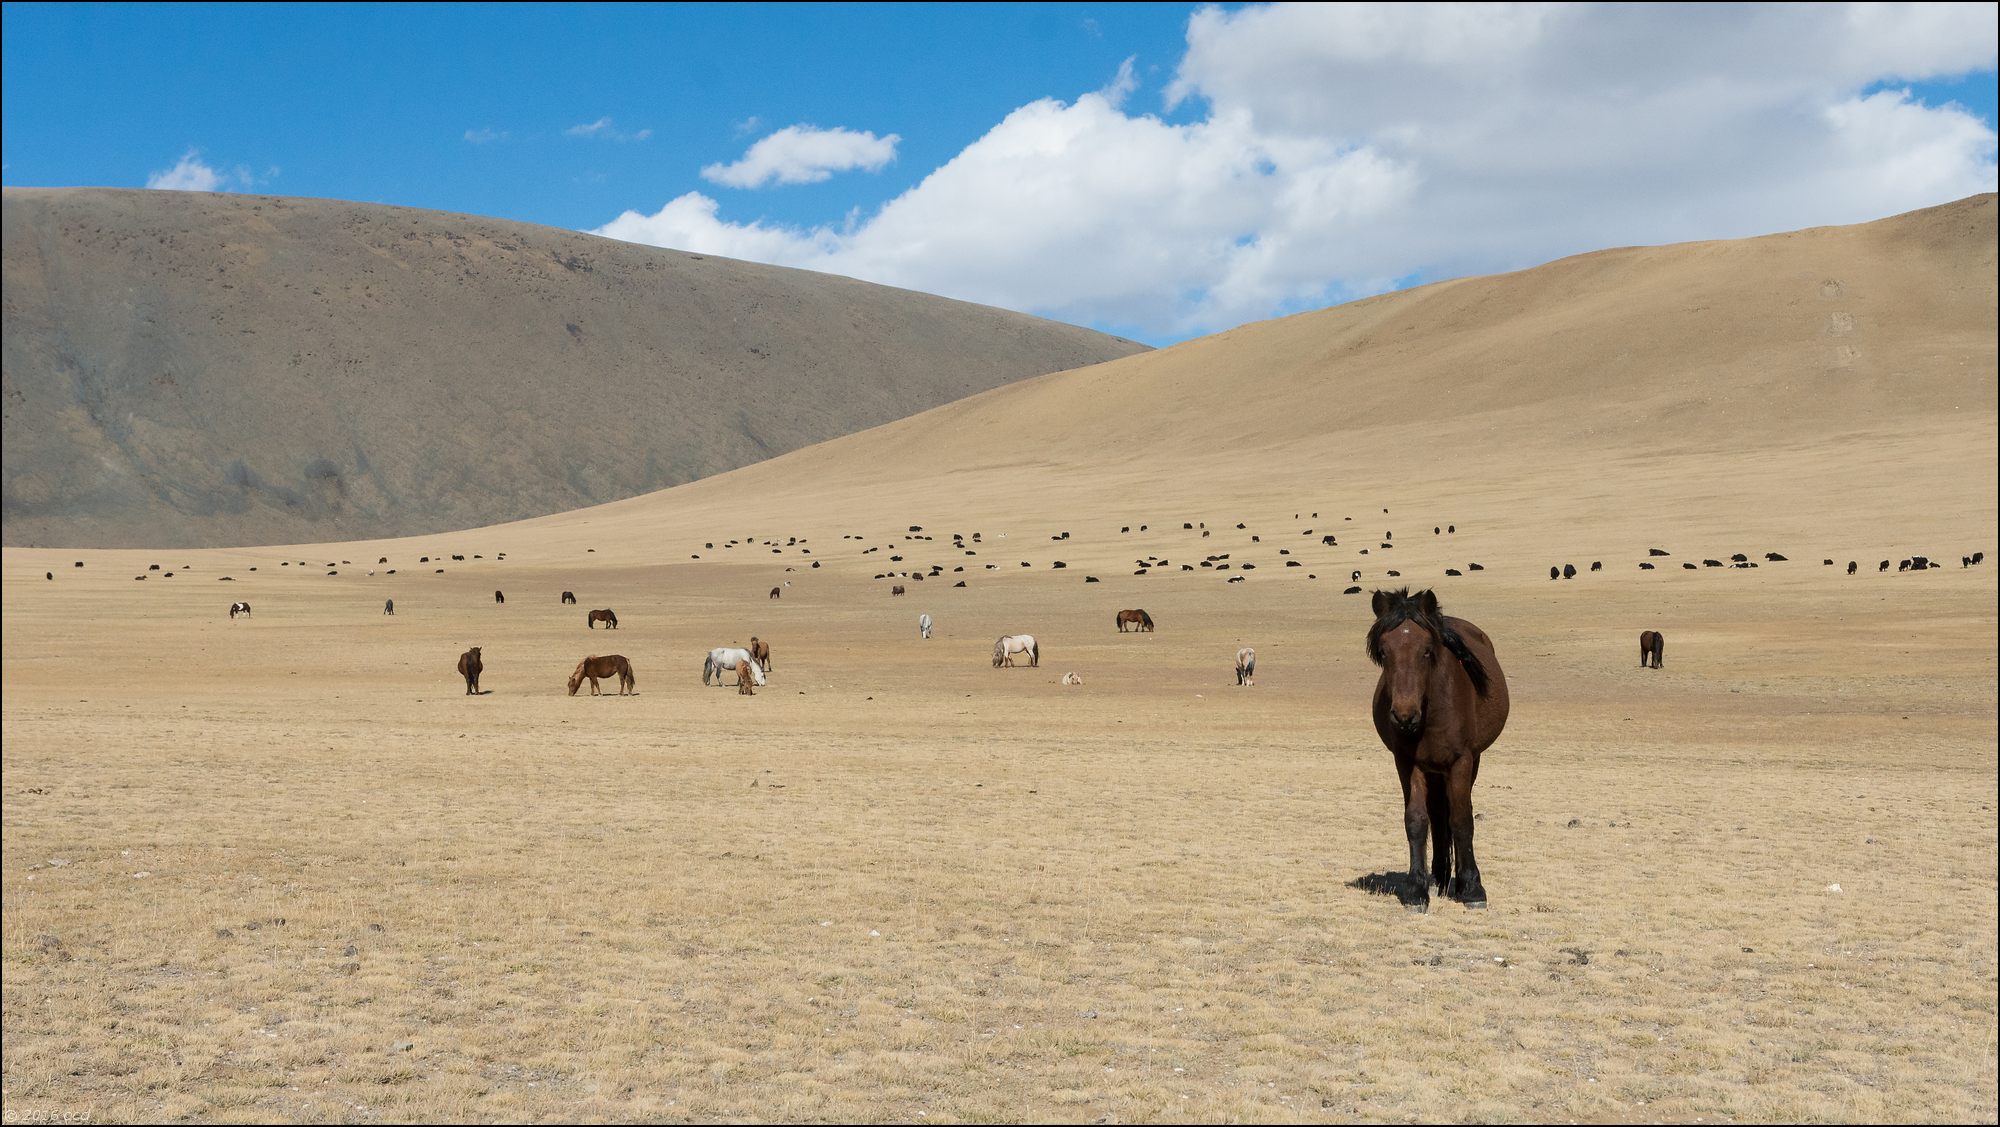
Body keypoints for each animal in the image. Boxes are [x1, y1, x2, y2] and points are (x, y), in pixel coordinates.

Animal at [1368, 587, 1504, 911]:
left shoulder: (1461, 761)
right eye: (1383, 651)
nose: (1404, 715)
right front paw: (1416, 890)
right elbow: (1417, 820)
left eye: (1427, 650)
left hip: (1470, 762)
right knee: (1438, 813)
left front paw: (1473, 889)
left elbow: (1462, 819)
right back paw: (1439, 876)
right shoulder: (1408, 762)